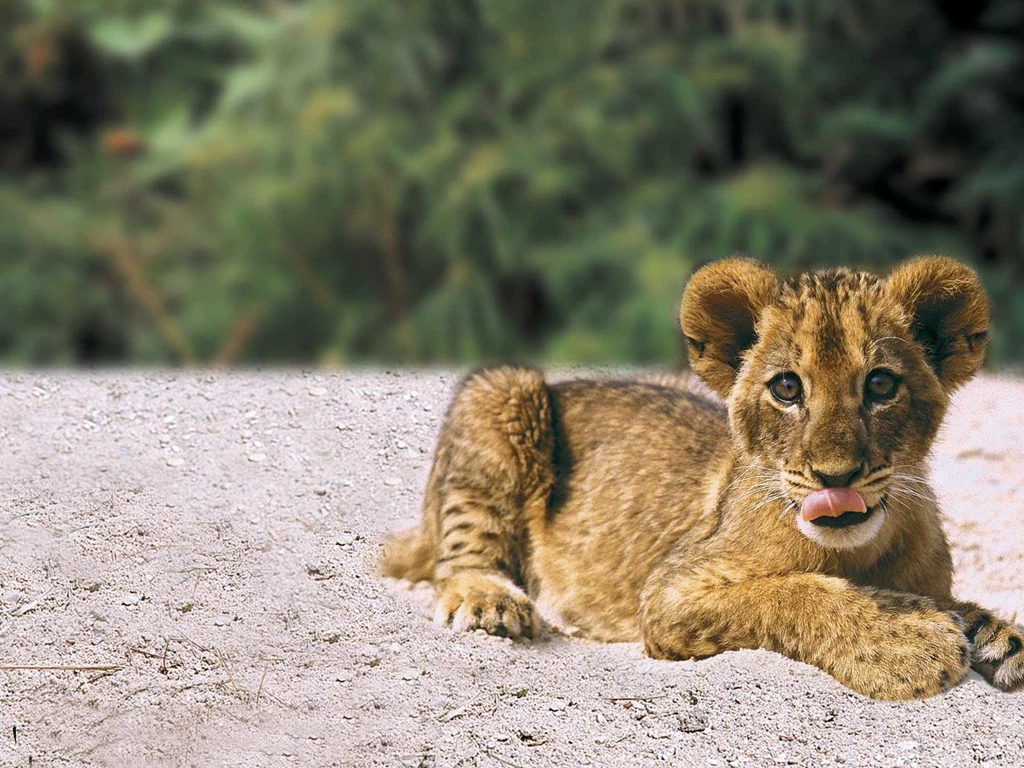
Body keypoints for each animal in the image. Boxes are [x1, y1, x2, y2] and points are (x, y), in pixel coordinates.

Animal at [381, 255, 1024, 700]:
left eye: (881, 385)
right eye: (787, 388)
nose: (834, 476)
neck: (859, 550)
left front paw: (993, 633)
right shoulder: (669, 591)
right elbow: (790, 591)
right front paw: (909, 643)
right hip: (502, 388)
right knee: (460, 553)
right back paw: (489, 600)